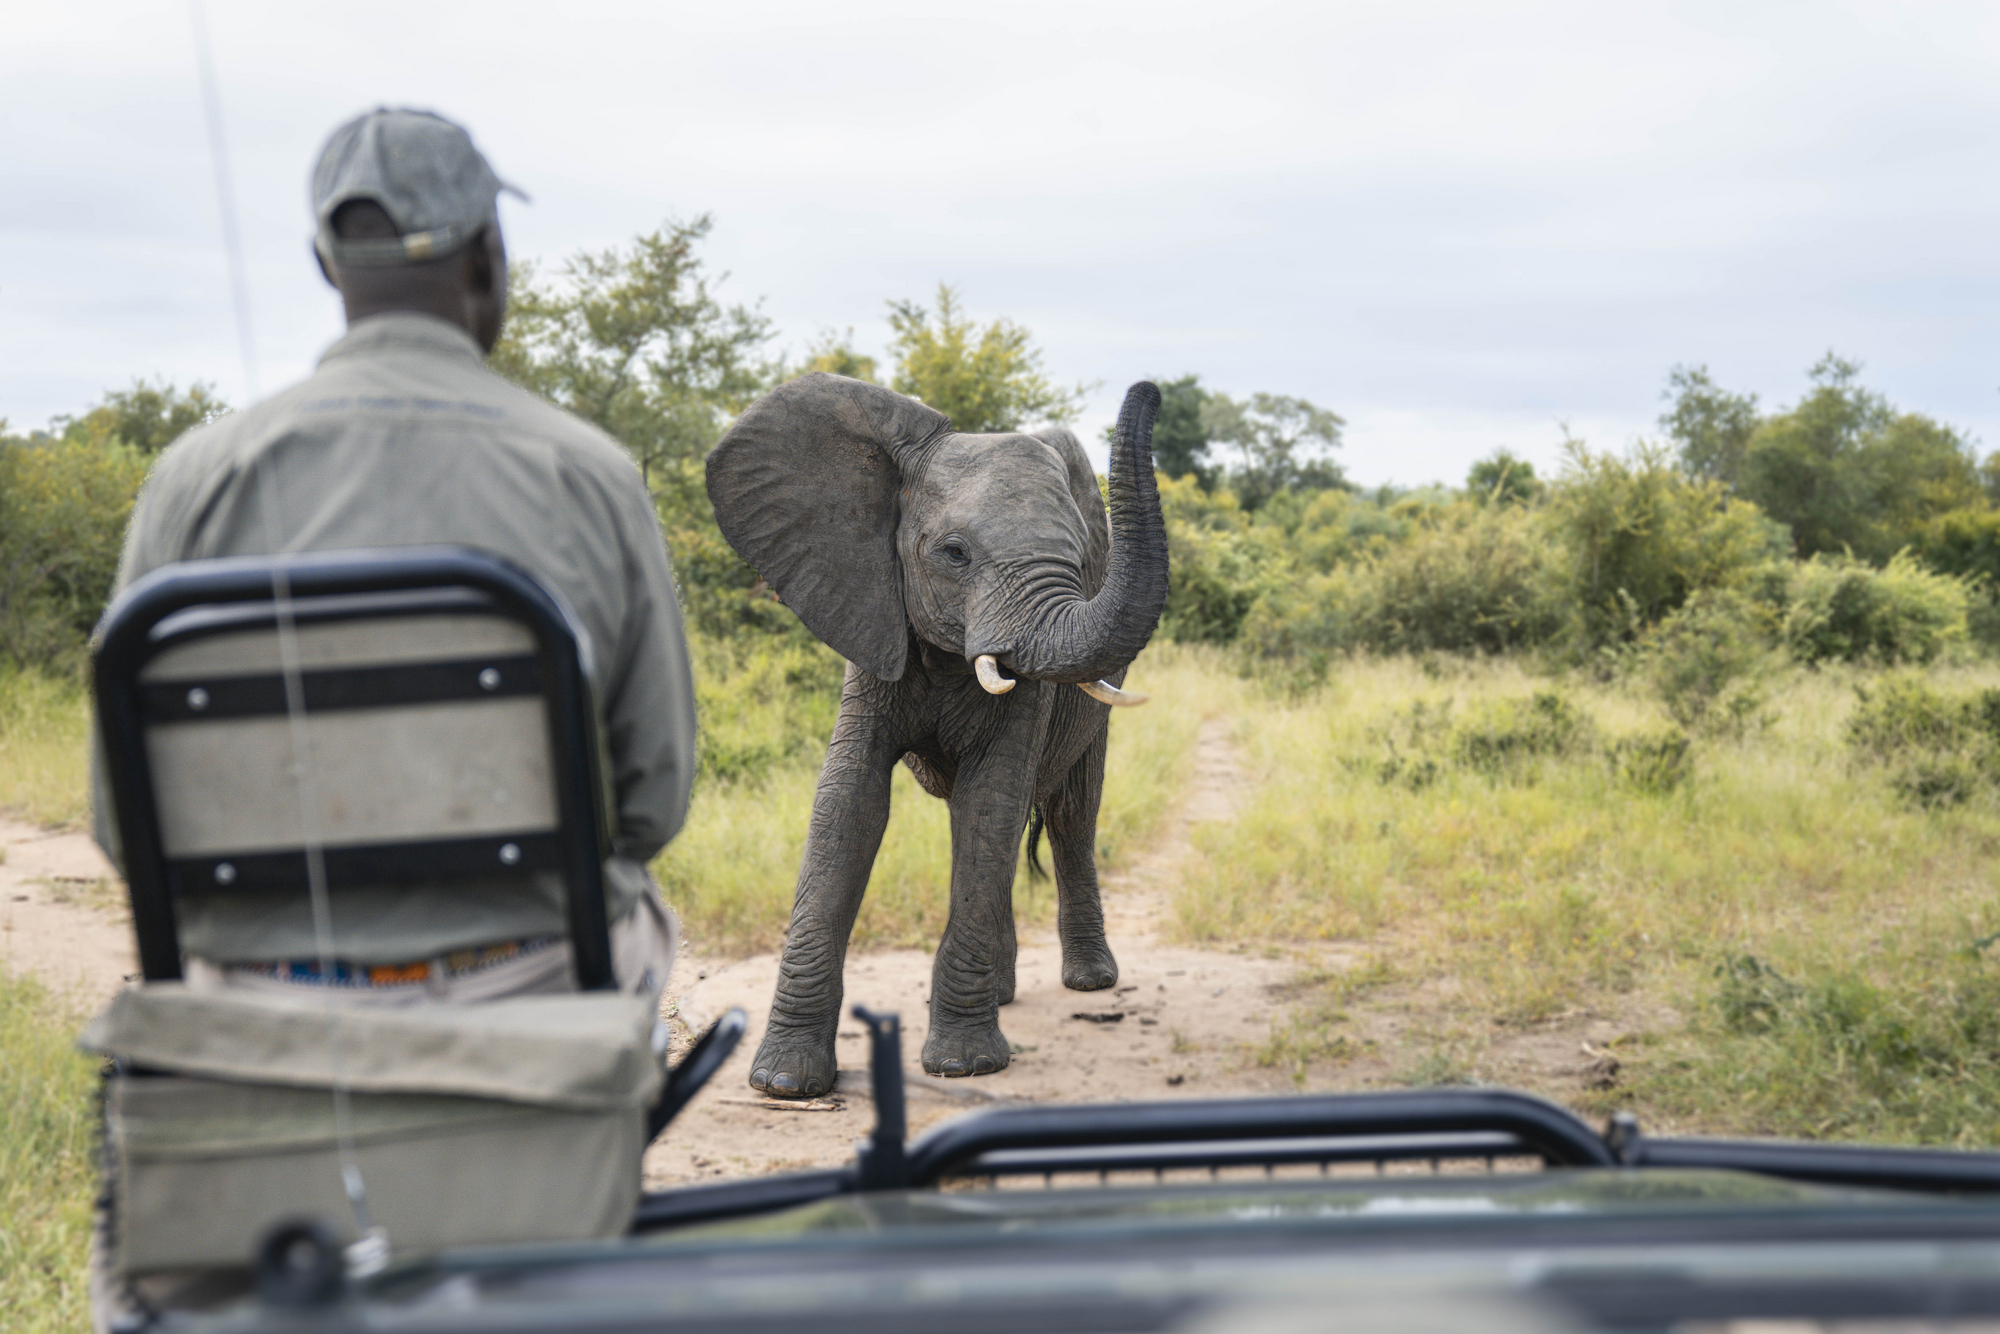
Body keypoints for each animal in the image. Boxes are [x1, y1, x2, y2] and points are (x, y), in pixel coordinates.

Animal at [704, 375, 1169, 1094]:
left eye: (1082, 560)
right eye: (954, 554)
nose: (1151, 391)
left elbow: (992, 803)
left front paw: (964, 1065)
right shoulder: (871, 613)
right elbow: (850, 804)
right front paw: (783, 1082)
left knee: (1069, 814)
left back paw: (1090, 982)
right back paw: (1004, 993)